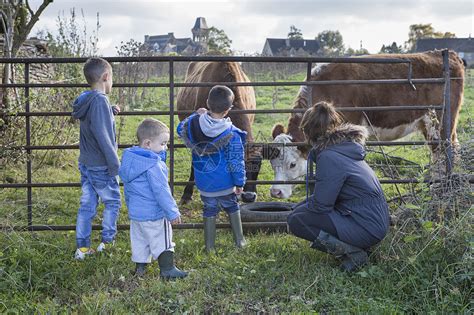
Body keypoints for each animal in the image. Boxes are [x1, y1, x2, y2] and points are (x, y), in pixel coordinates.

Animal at [268, 51, 464, 200]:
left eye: (292, 164)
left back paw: (440, 188)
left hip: (439, 122)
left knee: (444, 151)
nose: (275, 192)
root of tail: (446, 54)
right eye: (272, 162)